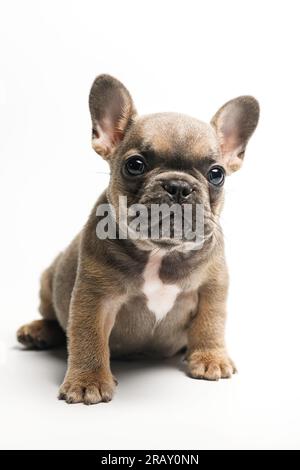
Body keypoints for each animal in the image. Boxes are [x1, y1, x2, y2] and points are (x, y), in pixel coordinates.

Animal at [17, 74, 260, 404]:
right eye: (135, 165)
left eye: (216, 174)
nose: (178, 186)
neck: (160, 253)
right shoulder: (95, 297)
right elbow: (88, 337)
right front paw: (88, 381)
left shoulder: (213, 286)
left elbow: (211, 322)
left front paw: (210, 358)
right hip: (48, 279)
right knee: (53, 317)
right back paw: (38, 331)